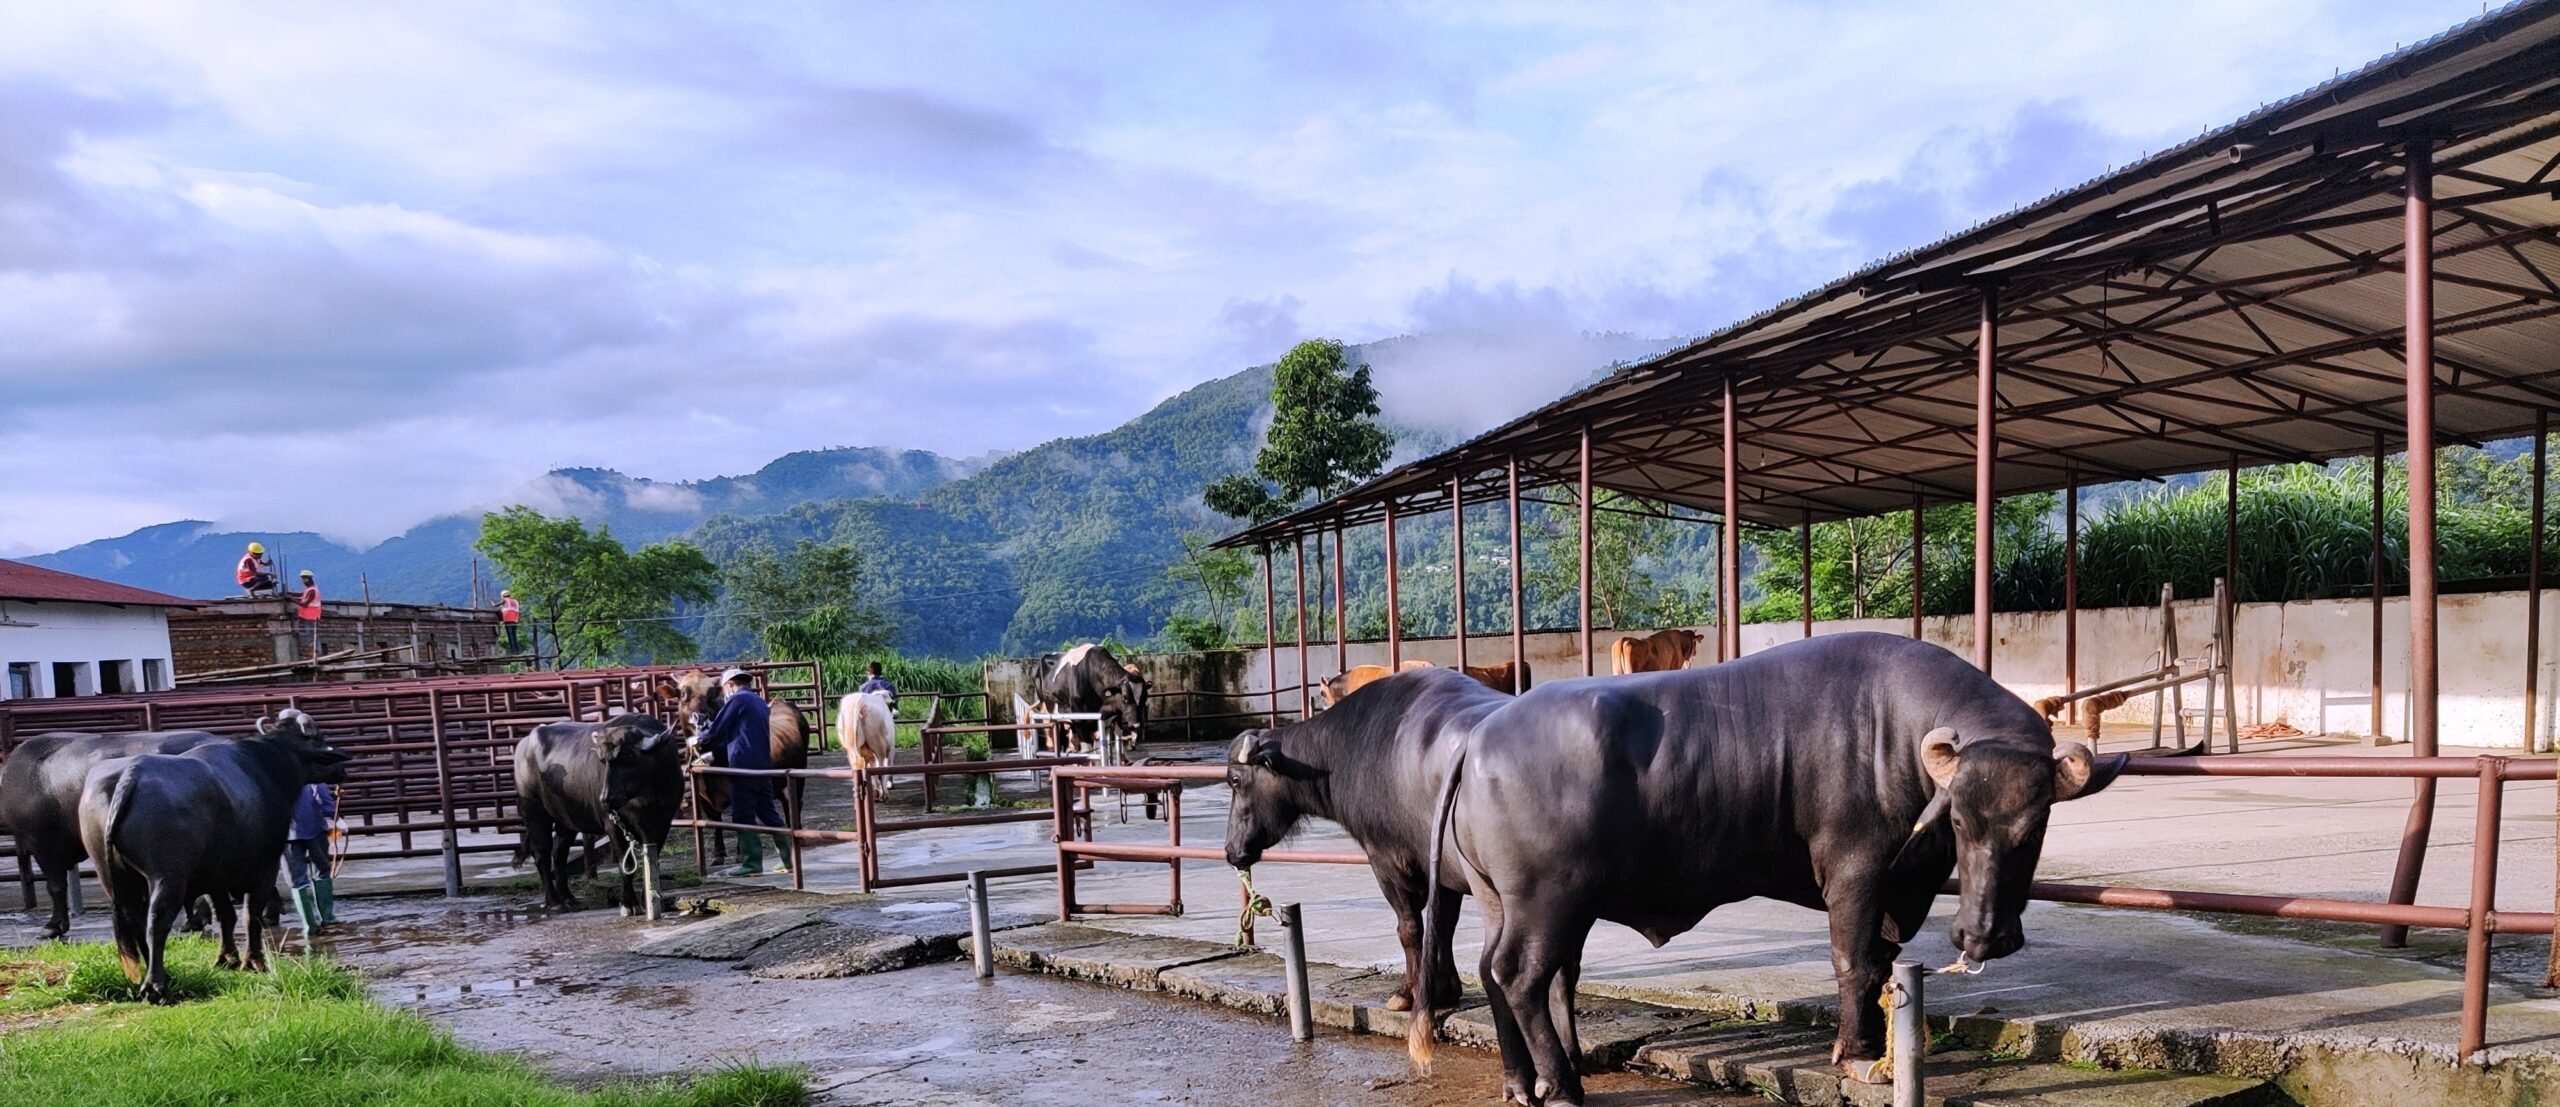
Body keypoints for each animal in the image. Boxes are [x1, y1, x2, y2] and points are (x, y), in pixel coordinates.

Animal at [78, 707, 353, 1004]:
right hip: (167, 877)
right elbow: (250, 915)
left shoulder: (215, 876)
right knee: (156, 922)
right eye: (319, 737)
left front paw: (227, 959)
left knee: (135, 920)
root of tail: (131, 774)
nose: (342, 768)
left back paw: (164, 977)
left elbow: (226, 916)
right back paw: (156, 987)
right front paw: (254, 962)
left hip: (113, 877)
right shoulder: (265, 867)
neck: (266, 767)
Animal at [517, 712, 691, 912]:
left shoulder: (662, 823)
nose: (606, 799)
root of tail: (524, 743)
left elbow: (652, 860)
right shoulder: (613, 826)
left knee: (559, 852)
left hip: (565, 820)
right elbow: (626, 863)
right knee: (541, 854)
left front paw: (650, 900)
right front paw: (629, 903)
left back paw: (568, 898)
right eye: (603, 761)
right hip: (535, 813)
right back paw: (554, 901)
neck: (645, 794)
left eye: (629, 755)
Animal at [1218, 661, 1495, 1014]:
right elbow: (1442, 926)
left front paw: (1408, 993)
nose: (1231, 850)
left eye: (1235, 781)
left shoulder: (1384, 859)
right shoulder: (1442, 870)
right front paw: (1444, 990)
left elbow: (1409, 927)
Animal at [1413, 630, 2129, 1107]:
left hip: (1501, 899)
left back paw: (1520, 1081)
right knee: (1521, 976)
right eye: (1958, 822)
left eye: (2033, 826)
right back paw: (1560, 1086)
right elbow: (1855, 960)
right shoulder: (1856, 871)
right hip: (1548, 900)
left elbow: (1881, 964)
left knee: (1494, 969)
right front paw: (1856, 1053)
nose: (1981, 937)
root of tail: (1479, 735)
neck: (1895, 730)